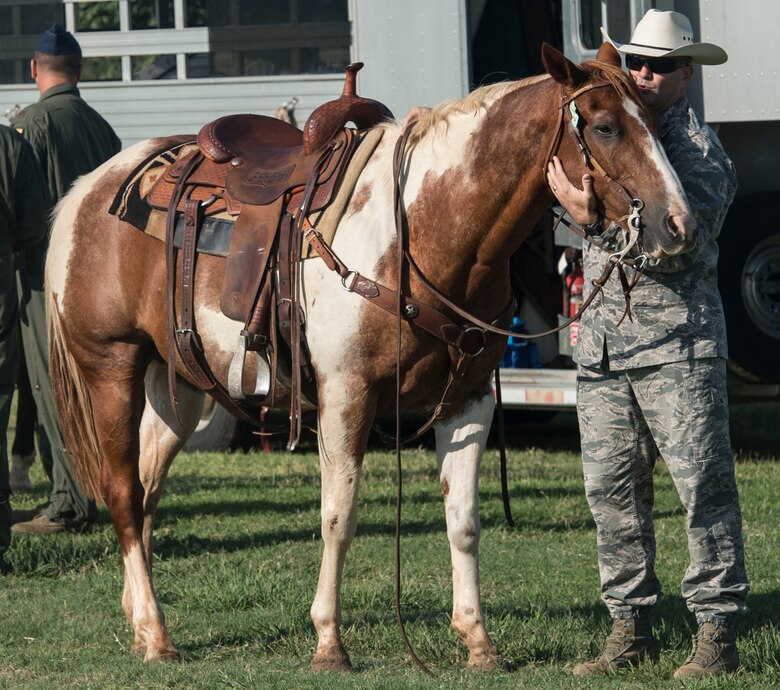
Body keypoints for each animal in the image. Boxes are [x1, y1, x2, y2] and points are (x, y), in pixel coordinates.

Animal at [46, 43, 693, 669]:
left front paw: (478, 642)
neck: (425, 229)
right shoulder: (346, 396)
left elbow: (463, 520)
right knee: (123, 492)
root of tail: (87, 190)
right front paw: (329, 643)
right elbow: (339, 516)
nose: (678, 223)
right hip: (112, 367)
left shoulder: (469, 401)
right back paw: (157, 636)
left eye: (654, 117)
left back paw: (139, 621)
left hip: (178, 381)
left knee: (147, 488)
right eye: (605, 127)